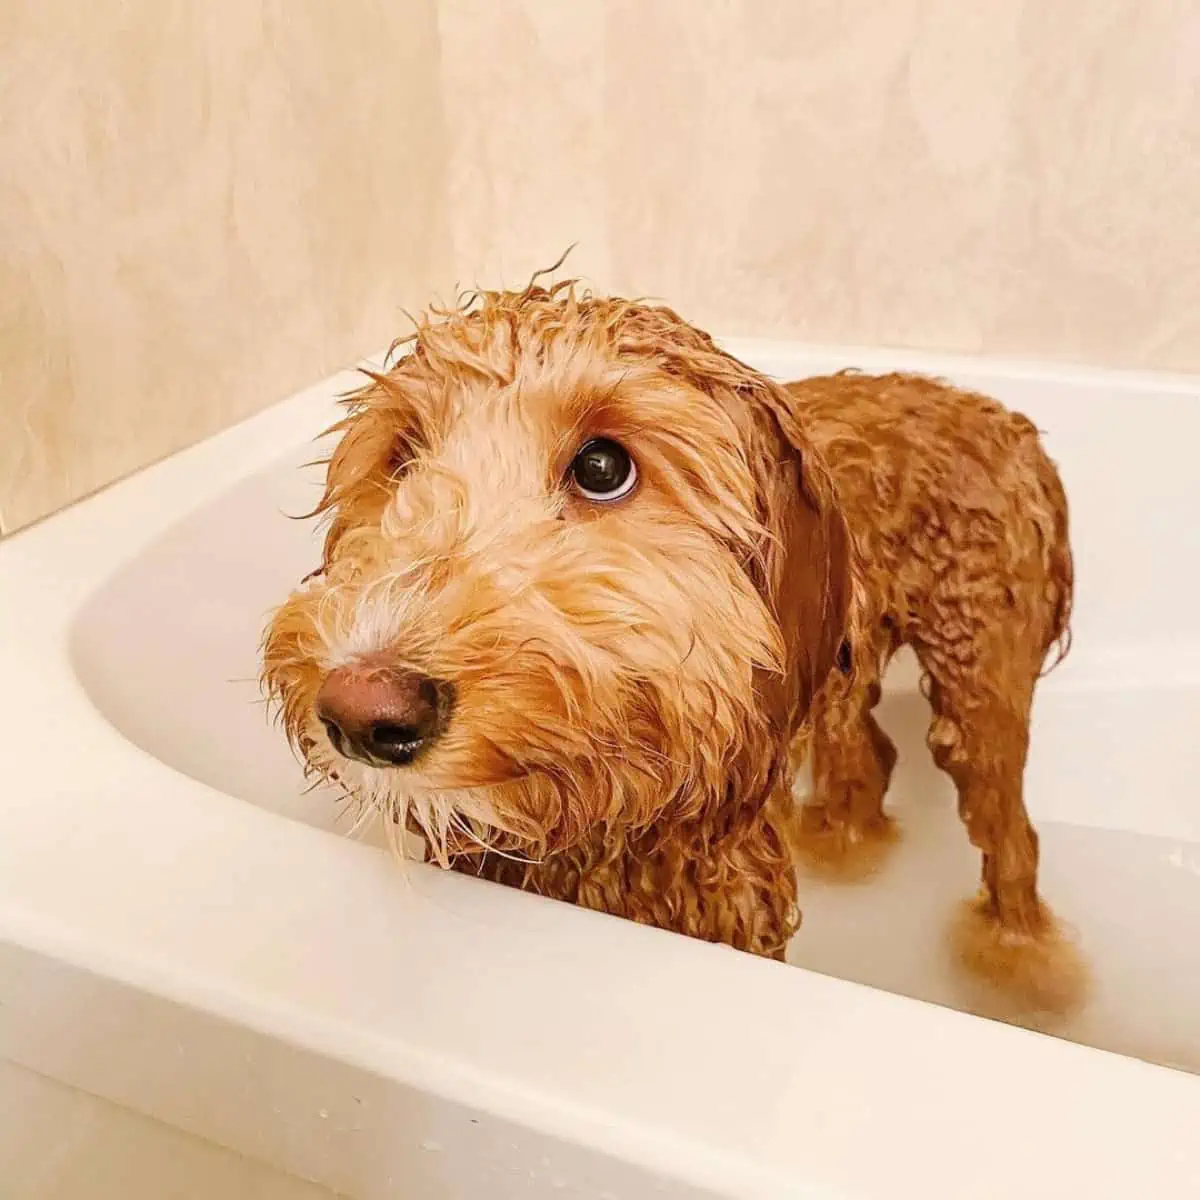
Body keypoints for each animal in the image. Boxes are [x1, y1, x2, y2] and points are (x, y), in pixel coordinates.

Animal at [262, 278, 1089, 1012]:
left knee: (1010, 834)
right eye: (402, 456)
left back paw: (1022, 964)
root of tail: (1005, 416)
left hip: (976, 676)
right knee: (868, 752)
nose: (363, 710)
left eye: (602, 468)